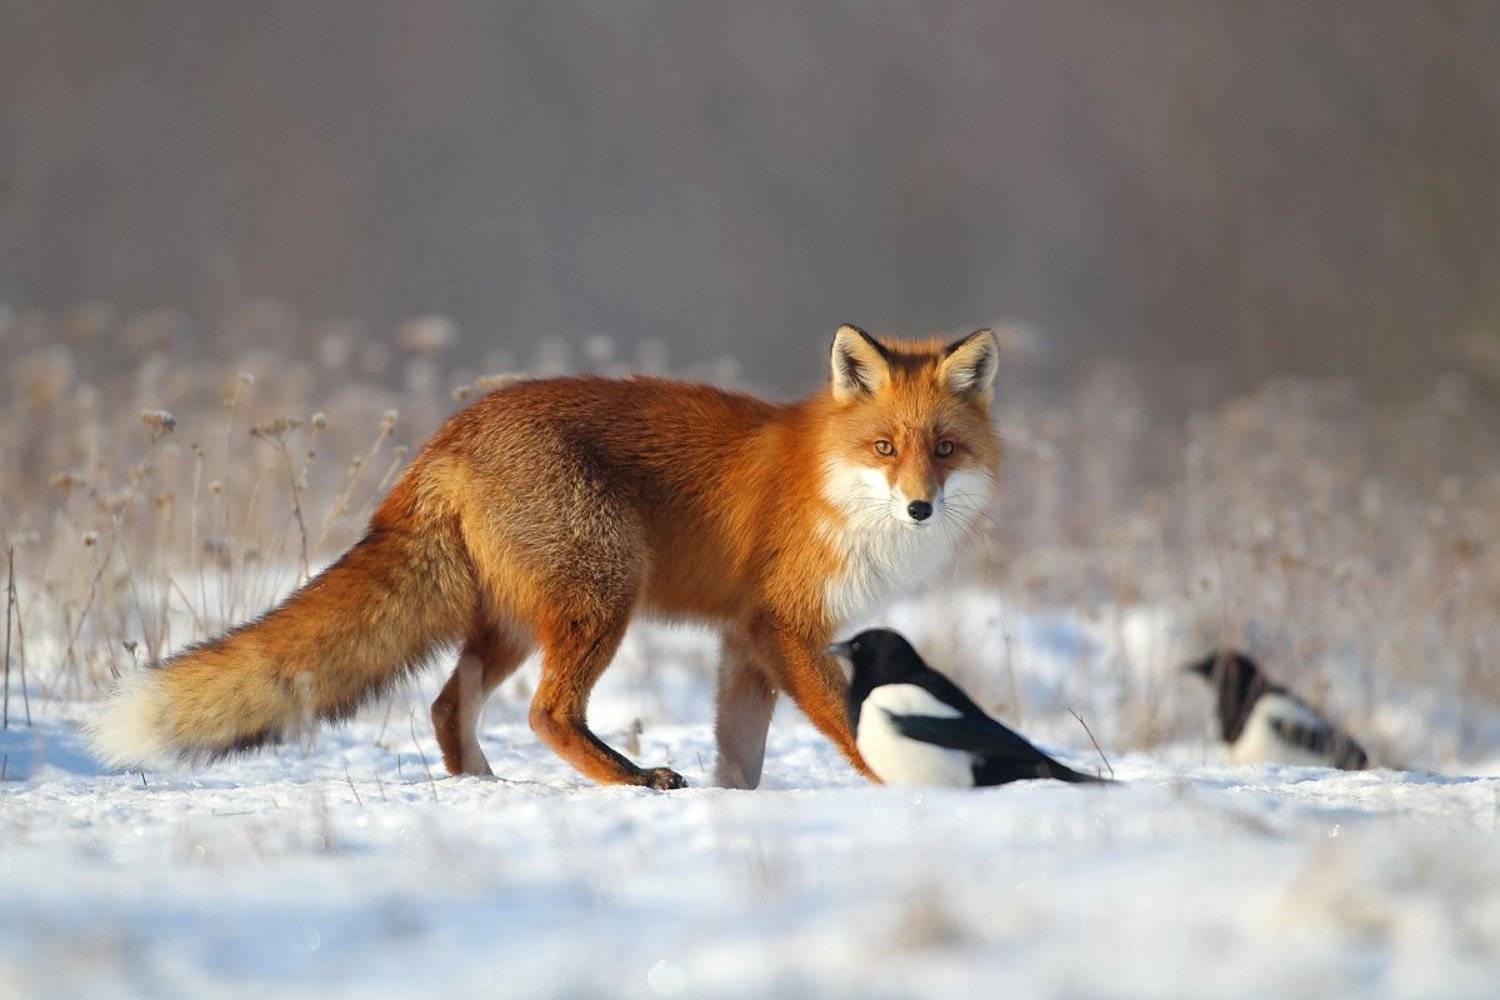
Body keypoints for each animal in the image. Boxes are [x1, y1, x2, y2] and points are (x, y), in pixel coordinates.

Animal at [90, 325, 1002, 789]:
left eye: (943, 451)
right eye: (884, 448)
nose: (920, 506)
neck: (828, 484)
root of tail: (450, 435)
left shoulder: (745, 641)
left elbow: (741, 756)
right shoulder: (782, 627)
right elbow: (850, 725)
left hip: (521, 621)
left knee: (446, 705)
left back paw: (481, 789)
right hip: (603, 598)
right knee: (546, 713)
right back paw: (628, 780)